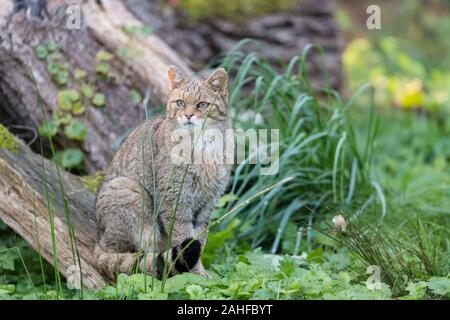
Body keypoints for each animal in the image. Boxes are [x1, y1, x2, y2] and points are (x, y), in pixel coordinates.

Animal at [95, 65, 234, 280]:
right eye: (180, 103)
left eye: (202, 105)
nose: (188, 115)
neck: (201, 149)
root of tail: (98, 238)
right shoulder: (175, 200)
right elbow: (184, 237)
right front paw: (194, 273)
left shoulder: (208, 203)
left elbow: (200, 239)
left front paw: (200, 271)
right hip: (131, 192)